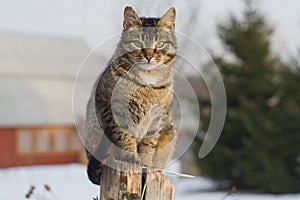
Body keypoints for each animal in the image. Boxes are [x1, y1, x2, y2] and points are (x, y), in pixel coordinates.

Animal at [85, 5, 177, 184]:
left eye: (160, 43)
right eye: (137, 43)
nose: (149, 55)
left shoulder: (157, 117)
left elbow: (149, 144)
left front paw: (145, 162)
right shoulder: (114, 110)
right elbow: (125, 136)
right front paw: (130, 157)